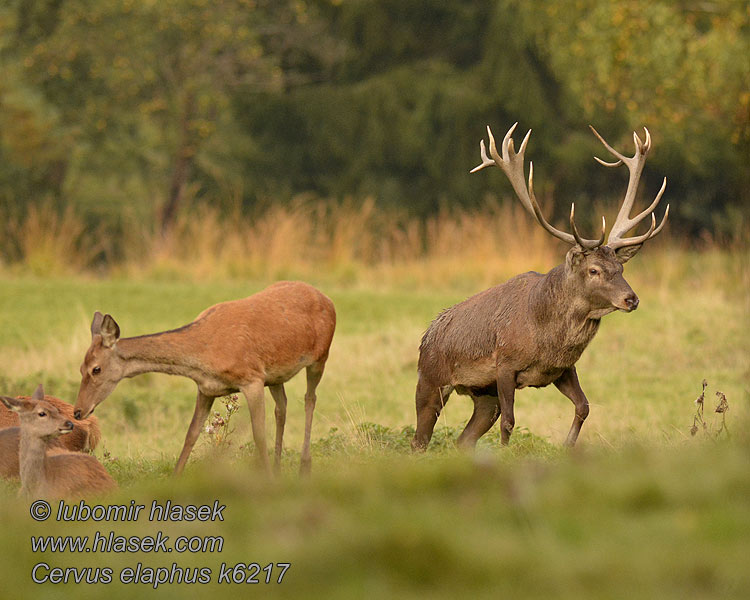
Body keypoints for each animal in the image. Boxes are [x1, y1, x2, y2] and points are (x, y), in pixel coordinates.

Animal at [74, 280, 338, 474]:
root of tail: (327, 298)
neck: (203, 355)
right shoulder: (206, 388)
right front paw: (174, 477)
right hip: (276, 376)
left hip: (321, 355)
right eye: (80, 368)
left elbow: (258, 435)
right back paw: (278, 466)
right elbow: (190, 434)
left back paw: (304, 466)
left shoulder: (252, 378)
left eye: (96, 369)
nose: (78, 411)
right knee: (282, 407)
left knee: (309, 399)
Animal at [418, 123, 668, 450]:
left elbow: (583, 406)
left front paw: (567, 446)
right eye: (594, 270)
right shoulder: (505, 364)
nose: (631, 299)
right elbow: (510, 423)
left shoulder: (562, 369)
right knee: (419, 439)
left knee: (464, 439)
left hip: (483, 395)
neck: (547, 336)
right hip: (430, 379)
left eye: (621, 268)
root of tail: (428, 334)